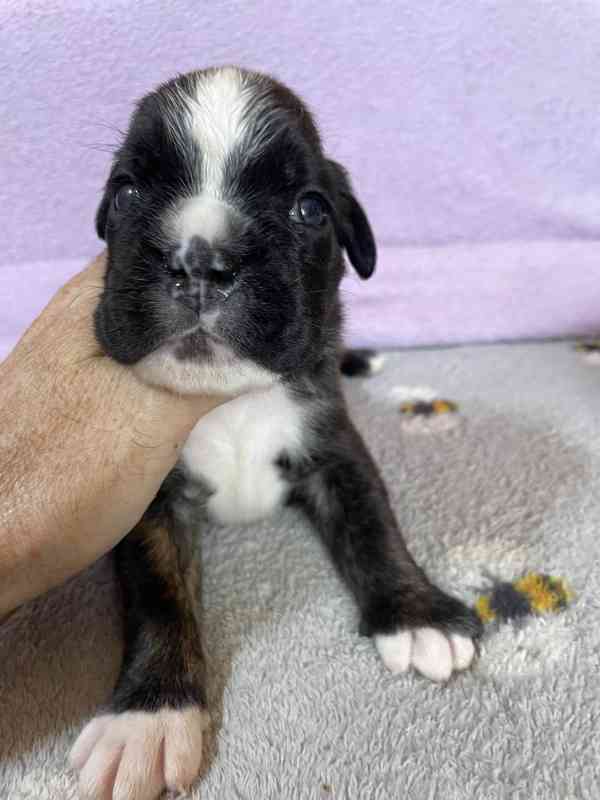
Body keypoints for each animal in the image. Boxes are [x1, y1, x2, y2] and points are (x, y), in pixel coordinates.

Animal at [70, 65, 482, 796]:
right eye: (127, 192)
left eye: (310, 209)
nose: (199, 260)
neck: (227, 400)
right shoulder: (148, 497)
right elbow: (158, 595)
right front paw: (149, 715)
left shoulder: (334, 448)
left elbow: (373, 525)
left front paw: (417, 615)